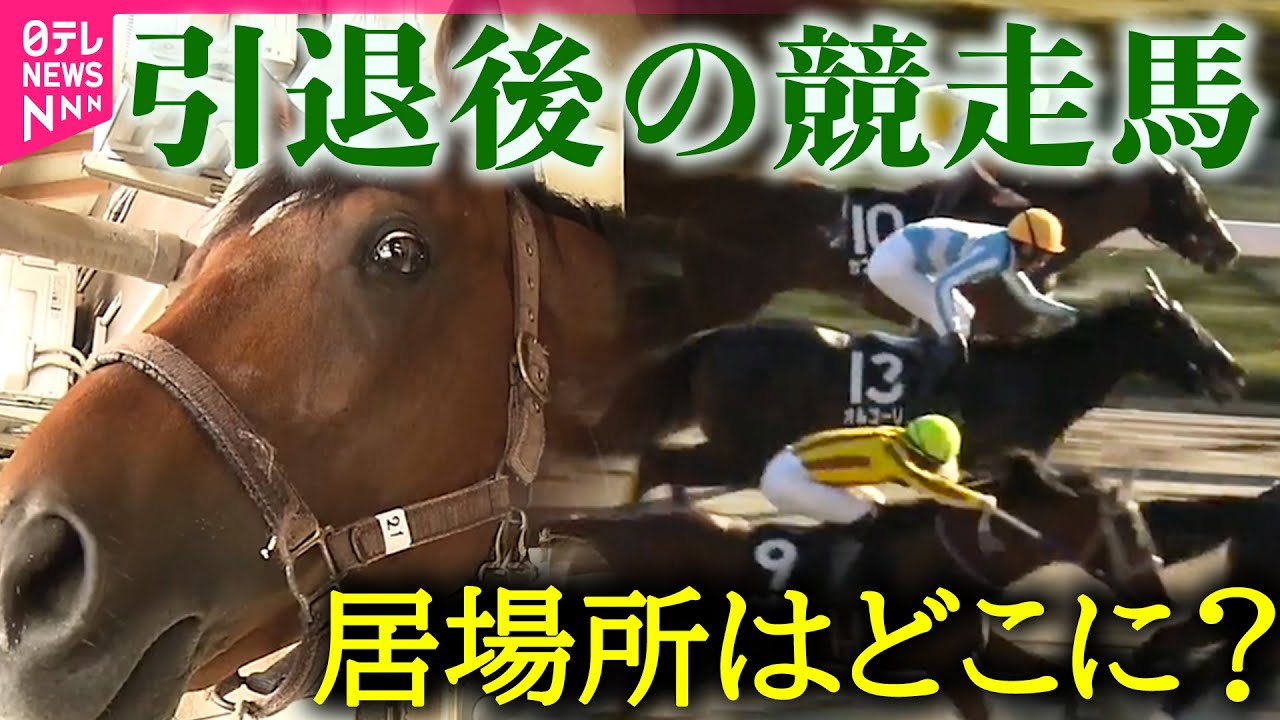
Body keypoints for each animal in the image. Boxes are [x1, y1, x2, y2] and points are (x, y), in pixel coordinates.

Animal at [574, 269, 1245, 502]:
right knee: (659, 462)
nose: (1233, 371)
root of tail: (716, 338)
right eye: (1184, 329)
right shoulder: (993, 460)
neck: (1034, 378)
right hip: (743, 446)